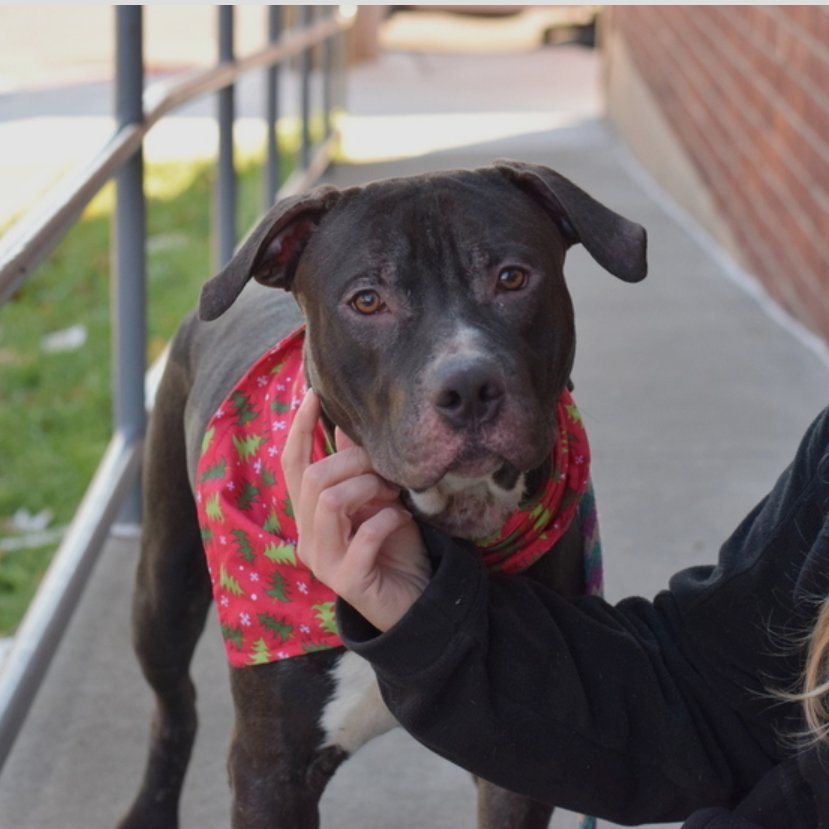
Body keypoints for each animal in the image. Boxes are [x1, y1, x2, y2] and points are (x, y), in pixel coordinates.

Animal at [116, 160, 648, 828]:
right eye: (367, 300)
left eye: (512, 277)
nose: (469, 387)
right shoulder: (271, 770)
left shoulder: (526, 758)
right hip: (164, 585)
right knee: (174, 705)